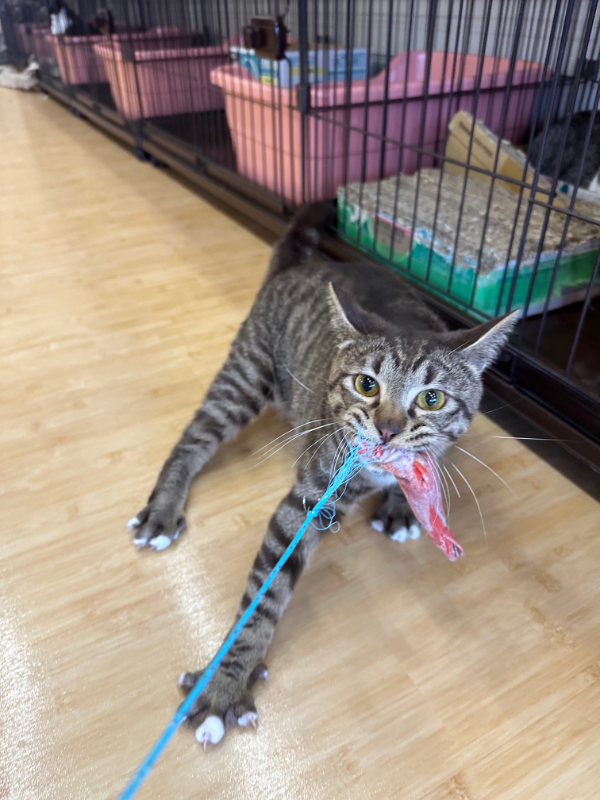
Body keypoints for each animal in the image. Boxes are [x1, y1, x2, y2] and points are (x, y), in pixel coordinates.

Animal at [128, 204, 517, 746]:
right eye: (366, 385)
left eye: (431, 398)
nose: (388, 429)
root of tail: (299, 266)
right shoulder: (306, 502)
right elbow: (264, 597)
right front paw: (225, 684)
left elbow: (425, 464)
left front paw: (403, 503)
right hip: (245, 377)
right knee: (191, 441)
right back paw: (163, 509)